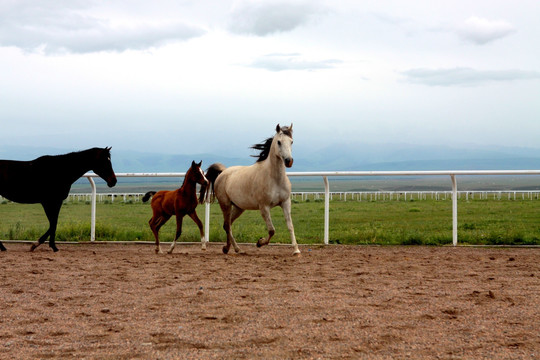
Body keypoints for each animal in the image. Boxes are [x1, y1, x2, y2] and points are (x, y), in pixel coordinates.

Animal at [202, 125, 302, 255]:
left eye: (291, 141)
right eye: (279, 142)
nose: (289, 161)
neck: (274, 179)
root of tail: (223, 172)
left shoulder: (285, 203)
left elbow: (290, 226)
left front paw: (296, 250)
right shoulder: (264, 207)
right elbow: (272, 230)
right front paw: (259, 243)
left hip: (238, 207)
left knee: (227, 224)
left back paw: (229, 248)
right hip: (225, 204)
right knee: (227, 225)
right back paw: (235, 248)